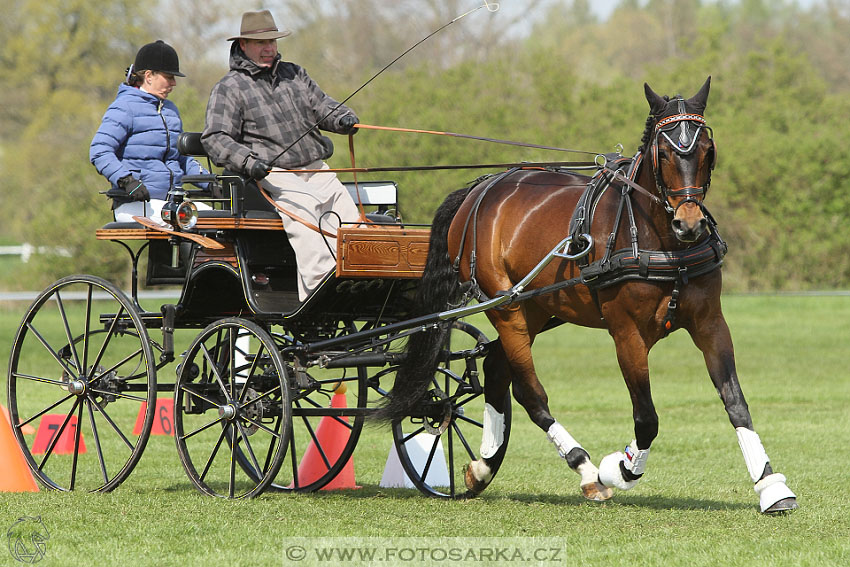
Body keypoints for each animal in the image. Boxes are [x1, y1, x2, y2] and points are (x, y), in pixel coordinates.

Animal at [378, 77, 796, 516]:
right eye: (663, 152)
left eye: (707, 150)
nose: (690, 224)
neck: (659, 240)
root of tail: (481, 187)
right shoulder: (627, 333)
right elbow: (647, 418)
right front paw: (621, 468)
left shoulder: (710, 323)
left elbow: (735, 402)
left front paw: (771, 486)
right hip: (506, 306)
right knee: (529, 392)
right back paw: (586, 470)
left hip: (534, 307)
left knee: (495, 369)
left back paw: (483, 467)